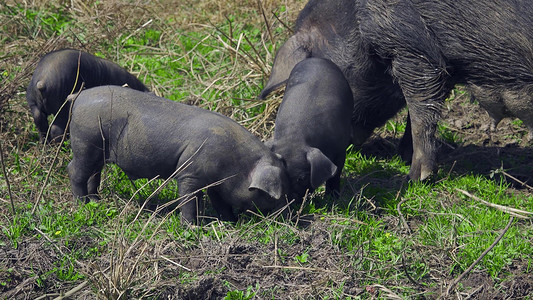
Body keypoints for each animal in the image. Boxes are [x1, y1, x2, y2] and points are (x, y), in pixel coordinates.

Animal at [68, 85, 288, 224]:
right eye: (273, 195)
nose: (288, 213)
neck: (237, 164)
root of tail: (80, 96)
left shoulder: (215, 183)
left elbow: (220, 202)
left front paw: (230, 222)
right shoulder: (189, 173)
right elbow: (189, 200)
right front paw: (191, 226)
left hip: (97, 151)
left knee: (94, 174)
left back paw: (96, 201)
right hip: (85, 142)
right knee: (74, 170)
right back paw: (82, 204)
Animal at [266, 58, 354, 199]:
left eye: (301, 178)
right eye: (281, 175)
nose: (290, 199)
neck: (295, 137)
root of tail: (316, 59)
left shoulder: (340, 150)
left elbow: (336, 173)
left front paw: (333, 197)